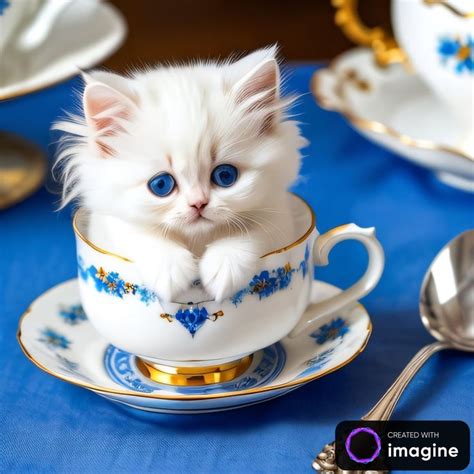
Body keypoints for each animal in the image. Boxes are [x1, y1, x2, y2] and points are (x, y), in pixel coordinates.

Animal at [54, 46, 308, 302]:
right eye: (161, 185)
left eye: (225, 176)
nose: (198, 203)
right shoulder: (110, 221)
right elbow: (140, 233)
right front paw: (170, 271)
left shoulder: (277, 213)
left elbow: (253, 230)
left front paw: (224, 266)